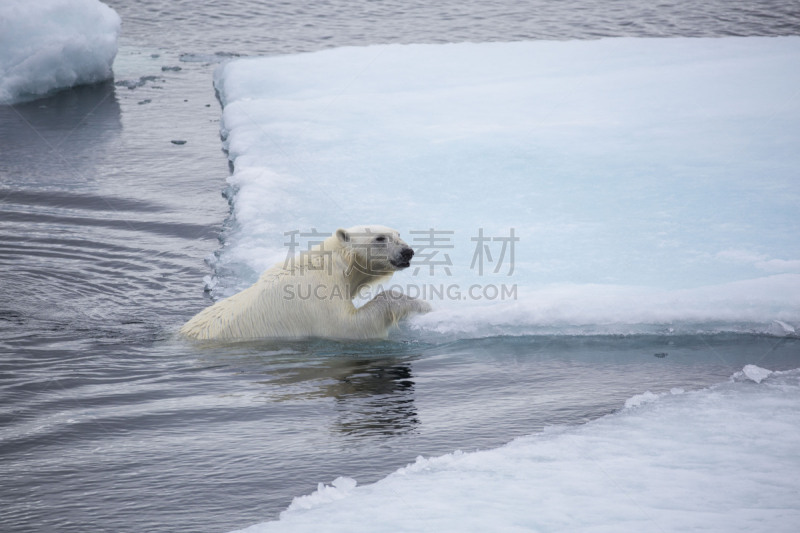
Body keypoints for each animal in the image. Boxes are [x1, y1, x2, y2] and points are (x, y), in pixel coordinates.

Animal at [181, 224, 432, 340]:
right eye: (380, 238)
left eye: (398, 234)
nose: (407, 252)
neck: (329, 266)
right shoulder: (316, 299)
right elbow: (351, 326)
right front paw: (421, 304)